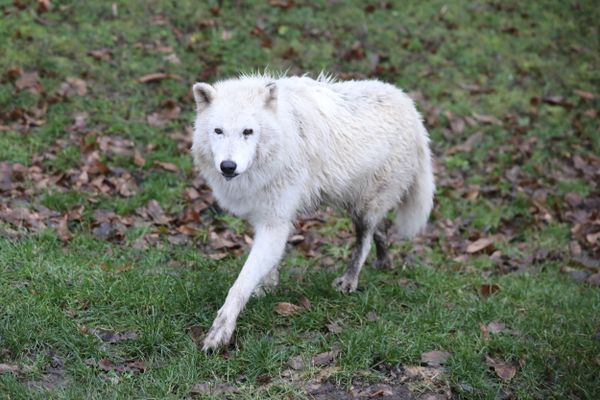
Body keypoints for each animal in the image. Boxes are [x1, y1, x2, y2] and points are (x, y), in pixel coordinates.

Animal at [195, 73, 434, 348]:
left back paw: (349, 282)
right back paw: (384, 262)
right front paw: (266, 288)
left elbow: (240, 284)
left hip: (364, 208)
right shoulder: (266, 218)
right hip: (358, 202)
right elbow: (267, 265)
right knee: (380, 230)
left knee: (364, 240)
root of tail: (411, 108)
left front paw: (220, 332)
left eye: (248, 131)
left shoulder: (275, 222)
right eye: (218, 131)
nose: (228, 166)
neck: (283, 135)